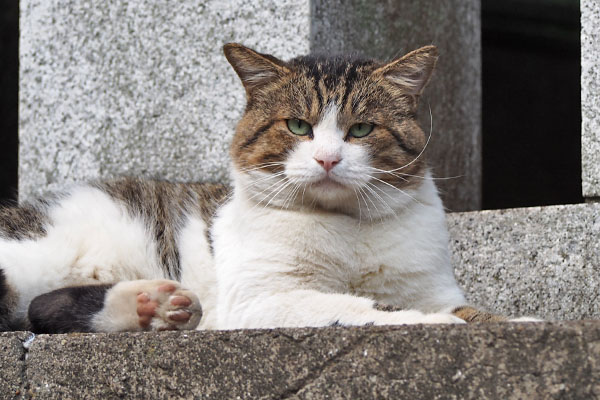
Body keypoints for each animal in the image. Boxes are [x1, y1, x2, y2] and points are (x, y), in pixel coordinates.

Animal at [0, 42, 506, 332]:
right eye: (298, 125)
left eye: (361, 129)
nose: (327, 159)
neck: (348, 229)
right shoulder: (263, 300)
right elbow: (373, 309)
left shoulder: (433, 287)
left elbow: (462, 309)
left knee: (39, 309)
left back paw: (153, 308)